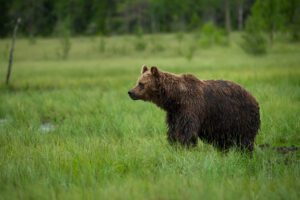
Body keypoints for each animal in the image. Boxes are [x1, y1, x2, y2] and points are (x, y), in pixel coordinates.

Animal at [127, 65, 258, 152]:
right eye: (137, 81)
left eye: (141, 84)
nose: (130, 92)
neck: (175, 98)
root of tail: (253, 97)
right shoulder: (174, 113)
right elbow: (173, 131)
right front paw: (173, 145)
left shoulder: (191, 107)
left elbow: (187, 131)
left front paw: (186, 147)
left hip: (241, 116)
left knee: (245, 139)